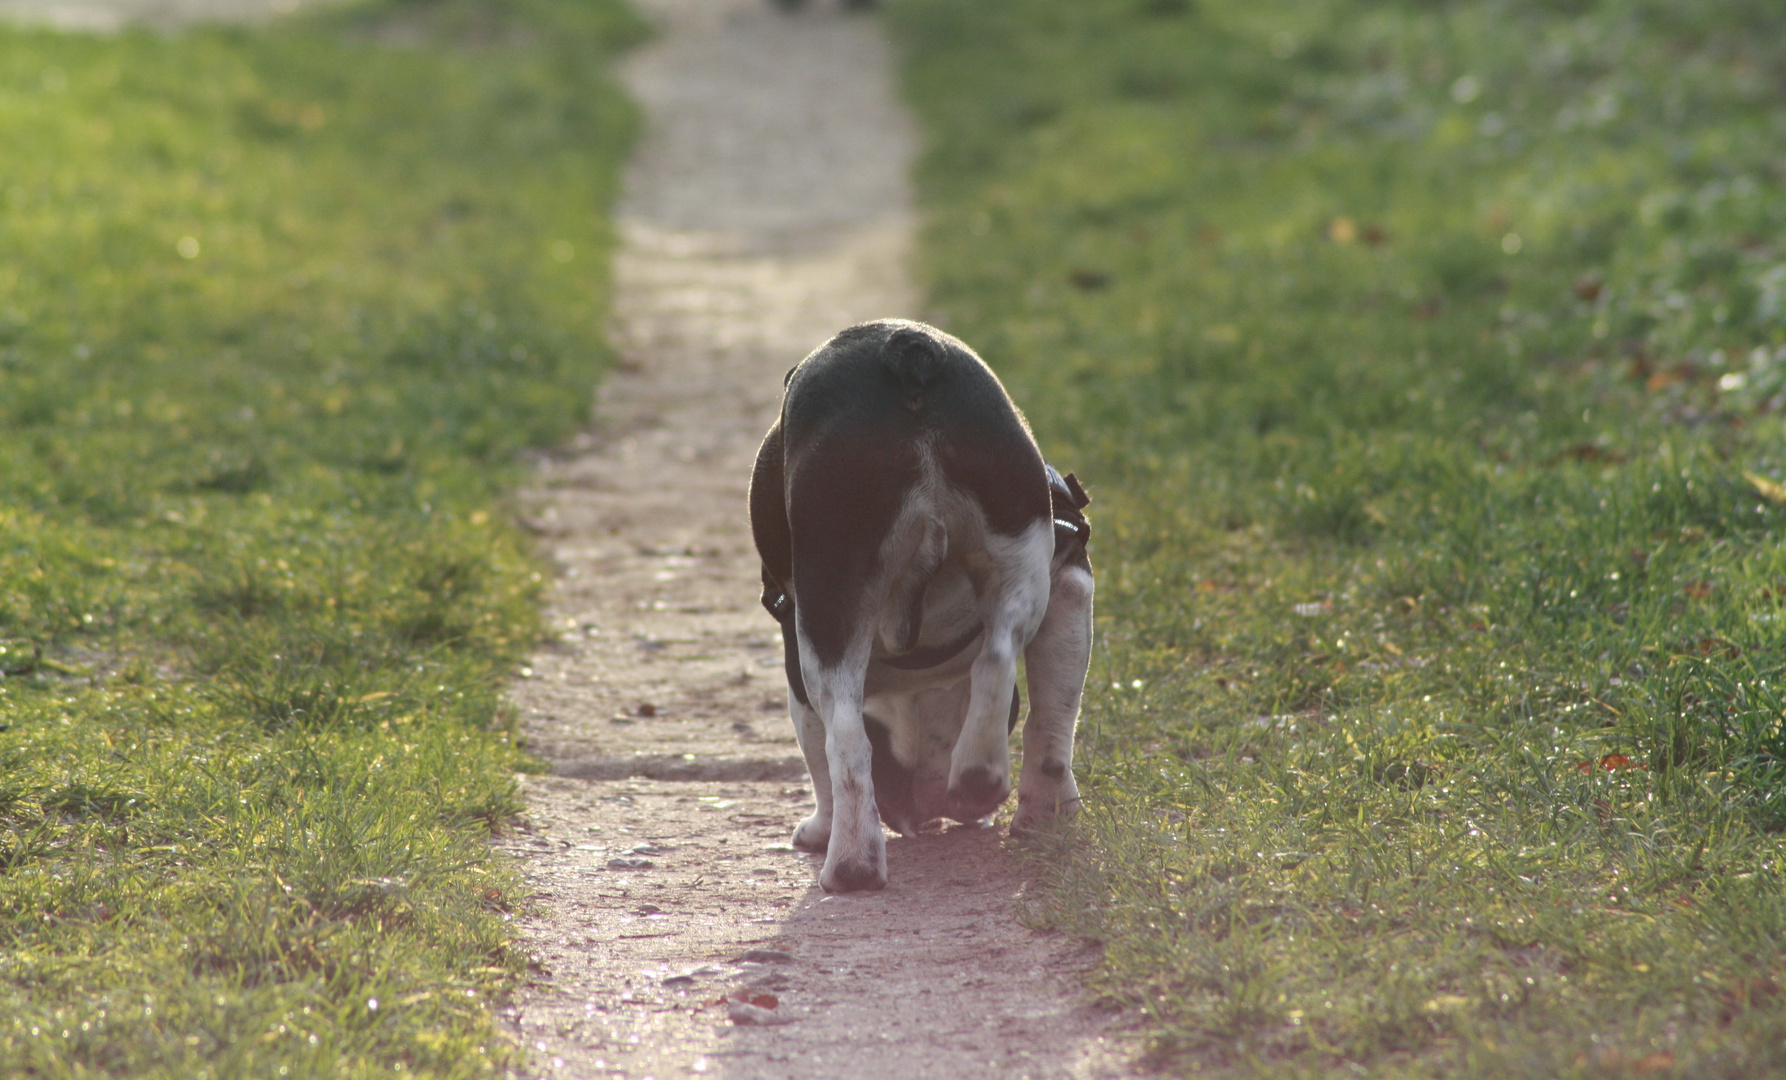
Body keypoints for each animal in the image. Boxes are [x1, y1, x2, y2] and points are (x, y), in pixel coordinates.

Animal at [750, 319, 1093, 892]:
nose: (924, 812)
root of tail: (905, 350)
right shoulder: (1070, 584)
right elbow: (1052, 721)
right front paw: (1048, 816)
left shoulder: (799, 660)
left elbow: (820, 750)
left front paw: (820, 828)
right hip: (1019, 538)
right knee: (998, 657)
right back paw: (975, 776)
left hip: (830, 594)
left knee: (845, 739)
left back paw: (851, 864)